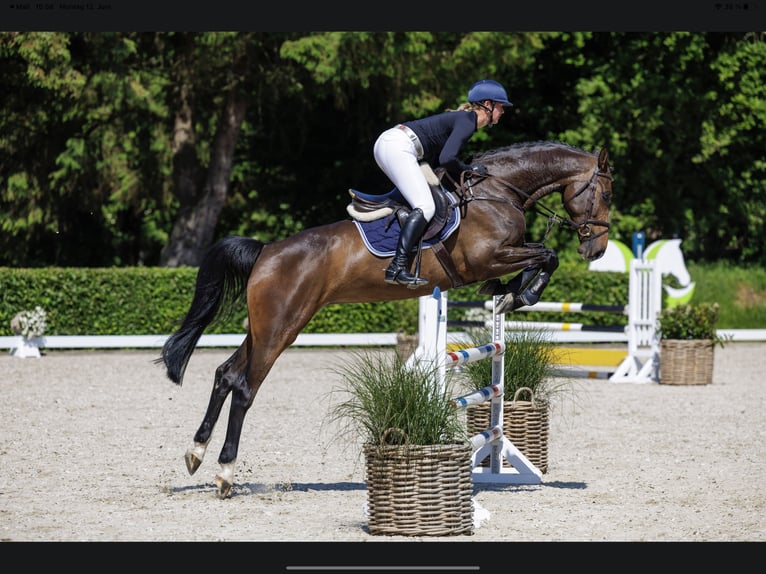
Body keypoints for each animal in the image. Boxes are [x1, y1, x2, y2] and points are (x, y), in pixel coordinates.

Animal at [158, 140, 613, 498]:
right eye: (605, 193)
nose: (597, 250)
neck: (497, 192)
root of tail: (266, 250)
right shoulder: (487, 258)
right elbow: (547, 256)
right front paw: (523, 293)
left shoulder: (497, 259)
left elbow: (537, 258)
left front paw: (511, 294)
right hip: (280, 328)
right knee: (244, 387)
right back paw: (224, 473)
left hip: (263, 327)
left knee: (224, 374)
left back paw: (195, 454)